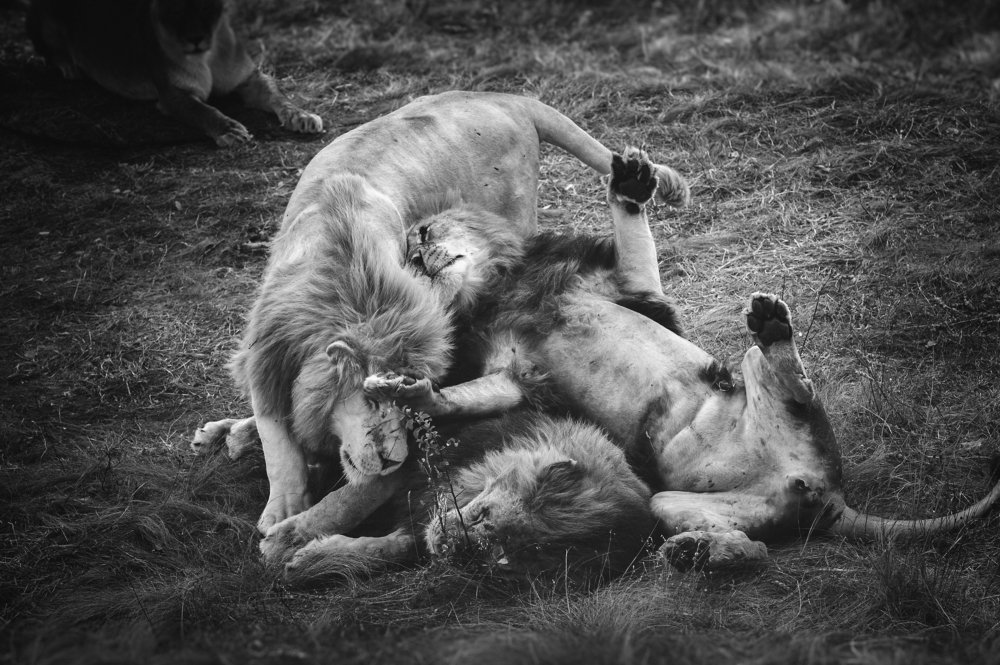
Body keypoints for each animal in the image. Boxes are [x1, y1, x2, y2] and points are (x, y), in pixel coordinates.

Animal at [27, 0, 323, 145]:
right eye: (175, 9)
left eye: (205, 7)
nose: (195, 38)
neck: (209, 53)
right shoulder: (173, 95)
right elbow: (204, 110)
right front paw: (230, 131)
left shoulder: (249, 78)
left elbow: (278, 94)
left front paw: (302, 116)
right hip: (46, 21)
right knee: (48, 49)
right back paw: (68, 65)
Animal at [191, 92, 691, 557]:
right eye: (369, 402)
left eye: (396, 412)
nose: (392, 459)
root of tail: (503, 97)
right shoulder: (267, 351)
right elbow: (278, 441)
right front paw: (282, 504)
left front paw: (289, 526)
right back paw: (226, 433)